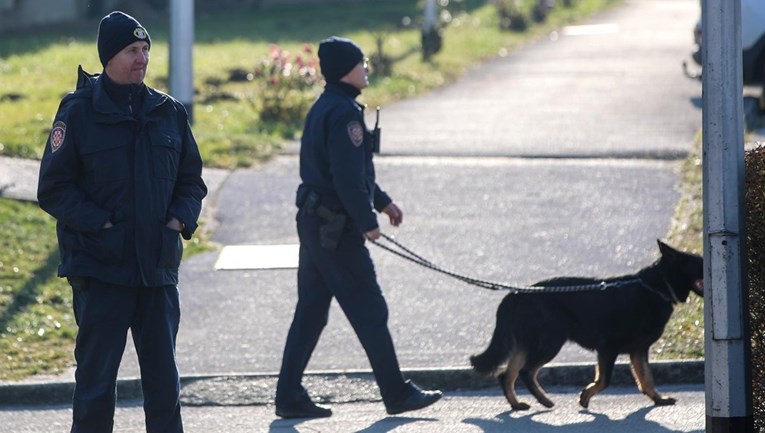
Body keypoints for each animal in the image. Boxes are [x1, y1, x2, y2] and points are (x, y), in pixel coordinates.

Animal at [472, 240, 704, 408]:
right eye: (700, 262)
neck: (656, 286)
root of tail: (515, 294)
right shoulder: (608, 349)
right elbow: (604, 380)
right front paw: (586, 395)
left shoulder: (638, 351)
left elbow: (646, 378)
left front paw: (658, 400)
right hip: (549, 343)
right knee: (526, 372)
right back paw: (543, 400)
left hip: (528, 345)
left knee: (506, 375)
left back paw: (516, 404)